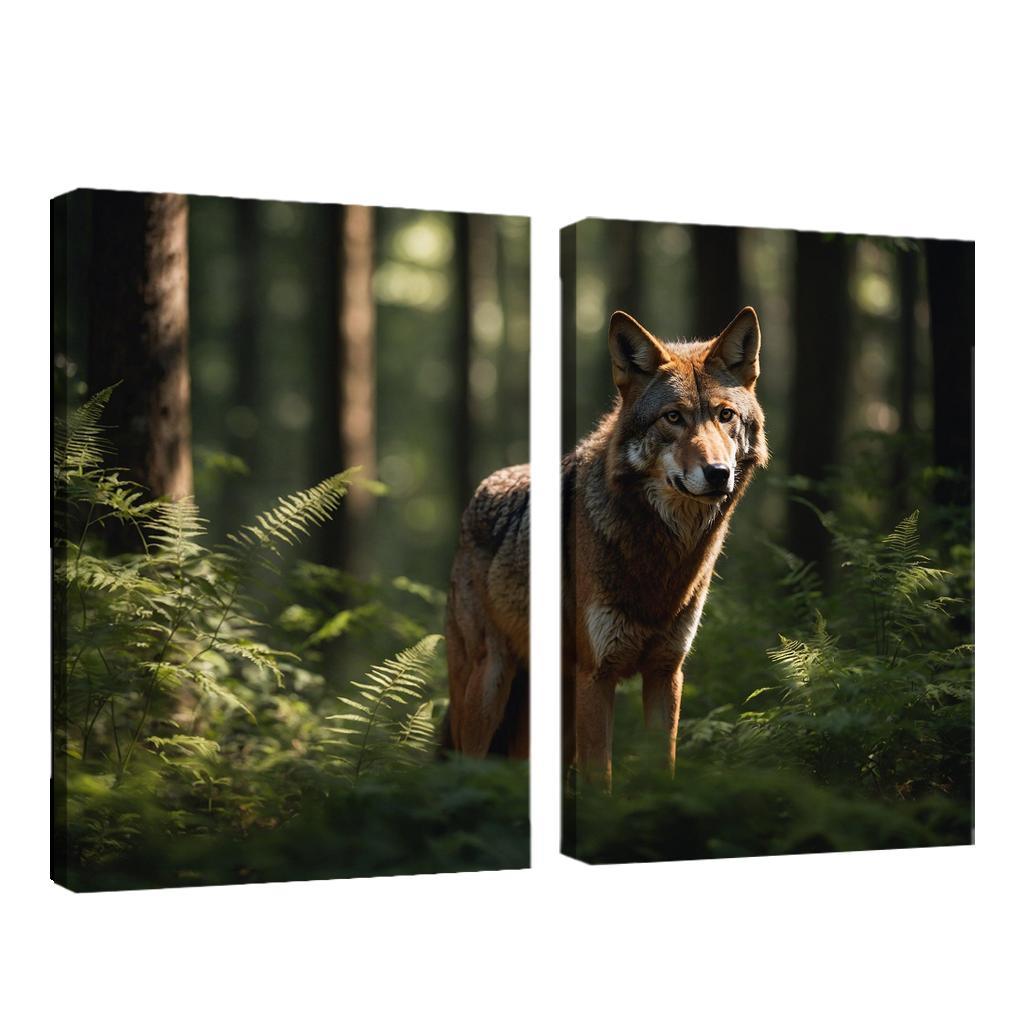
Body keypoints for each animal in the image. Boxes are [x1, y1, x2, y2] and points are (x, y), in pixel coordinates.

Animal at [442, 307, 767, 788]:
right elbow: (602, 781)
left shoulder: (666, 673)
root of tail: (480, 493)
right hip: (488, 688)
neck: (661, 561)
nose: (717, 473)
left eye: (725, 415)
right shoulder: (597, 675)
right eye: (673, 418)